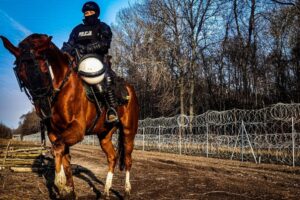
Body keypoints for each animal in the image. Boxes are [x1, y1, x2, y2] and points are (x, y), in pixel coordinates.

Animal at [0, 34, 139, 198]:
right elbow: (65, 160)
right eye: (21, 75)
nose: (43, 110)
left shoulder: (77, 130)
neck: (63, 88)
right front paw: (69, 190)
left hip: (129, 131)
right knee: (112, 157)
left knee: (128, 159)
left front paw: (60, 183)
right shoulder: (55, 133)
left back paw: (127, 190)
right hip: (104, 135)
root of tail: (129, 89)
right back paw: (106, 191)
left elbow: (57, 149)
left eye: (44, 68)